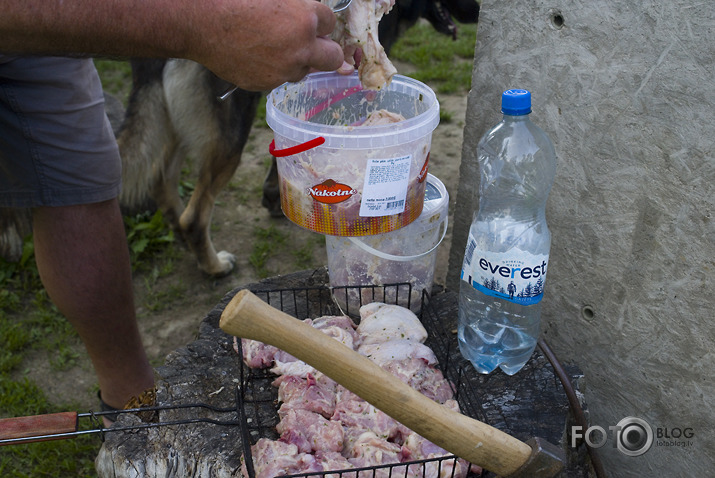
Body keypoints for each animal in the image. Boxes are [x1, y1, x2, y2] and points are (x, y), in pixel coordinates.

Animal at [2, 0, 482, 278]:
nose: (478, 11)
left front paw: (271, 197)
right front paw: (273, 197)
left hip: (174, 115)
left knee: (160, 179)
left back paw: (183, 239)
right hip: (229, 124)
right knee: (196, 213)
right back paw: (213, 265)